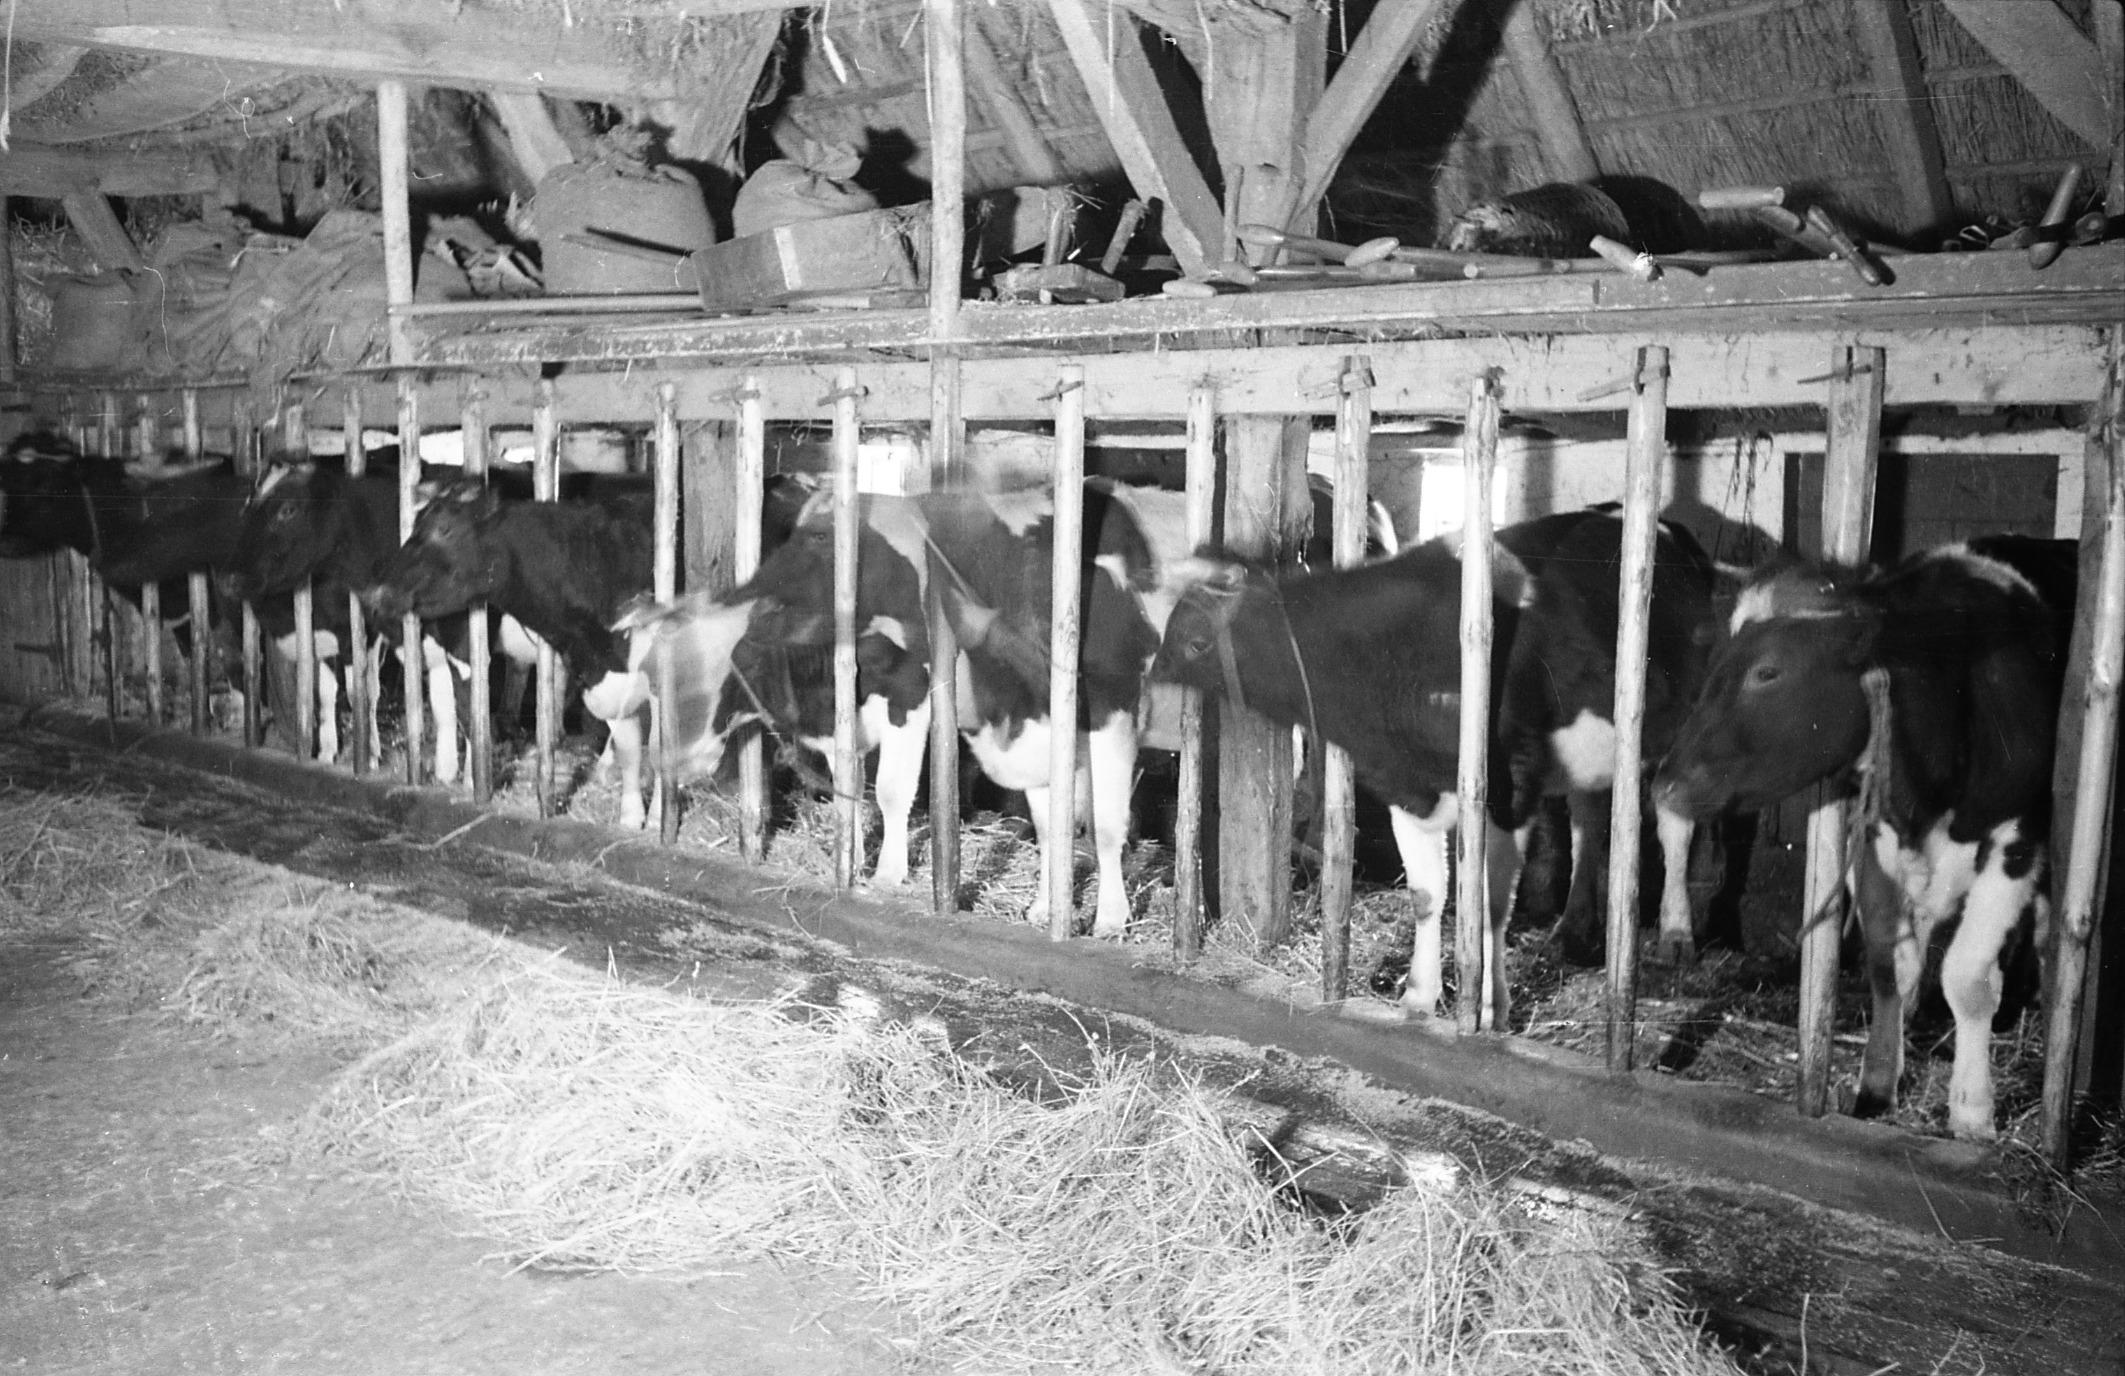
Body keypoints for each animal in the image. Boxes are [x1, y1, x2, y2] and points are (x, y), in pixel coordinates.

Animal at [626, 479, 1180, 937]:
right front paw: (1046, 909)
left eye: (731, 671)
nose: (669, 761)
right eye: (653, 677)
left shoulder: (920, 692)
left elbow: (894, 791)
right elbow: (1048, 825)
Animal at [1150, 508, 1719, 1026]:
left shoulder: (1508, 789)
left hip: (1678, 726)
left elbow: (1489, 905)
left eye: (1196, 641)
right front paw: (1419, 996)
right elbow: (1427, 895)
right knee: (1589, 820)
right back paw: (1574, 927)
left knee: (1674, 824)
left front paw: (1489, 1009)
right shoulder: (1404, 787)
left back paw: (1675, 933)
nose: (1150, 680)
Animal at [1653, 538, 2073, 1140]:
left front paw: (1972, 1111)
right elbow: (1889, 967)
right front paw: (1876, 1085)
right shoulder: (1874, 836)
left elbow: (1967, 977)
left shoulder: (2016, 840)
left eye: (1767, 671)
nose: (1666, 784)